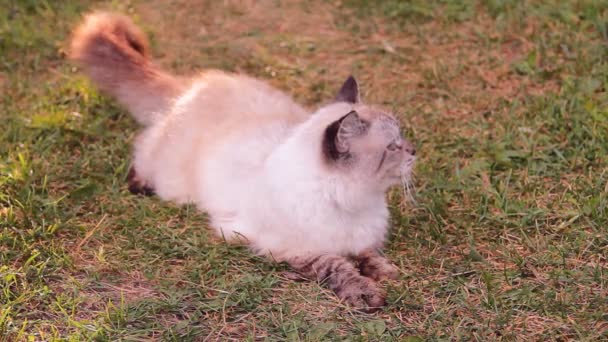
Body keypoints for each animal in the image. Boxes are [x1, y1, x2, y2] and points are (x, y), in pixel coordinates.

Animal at [69, 12, 416, 312]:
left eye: (402, 139)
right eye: (393, 146)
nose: (414, 151)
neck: (353, 200)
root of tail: (192, 86)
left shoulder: (362, 238)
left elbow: (369, 253)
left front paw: (385, 272)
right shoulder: (294, 249)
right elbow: (338, 267)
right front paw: (366, 293)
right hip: (171, 180)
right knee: (142, 150)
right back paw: (139, 185)